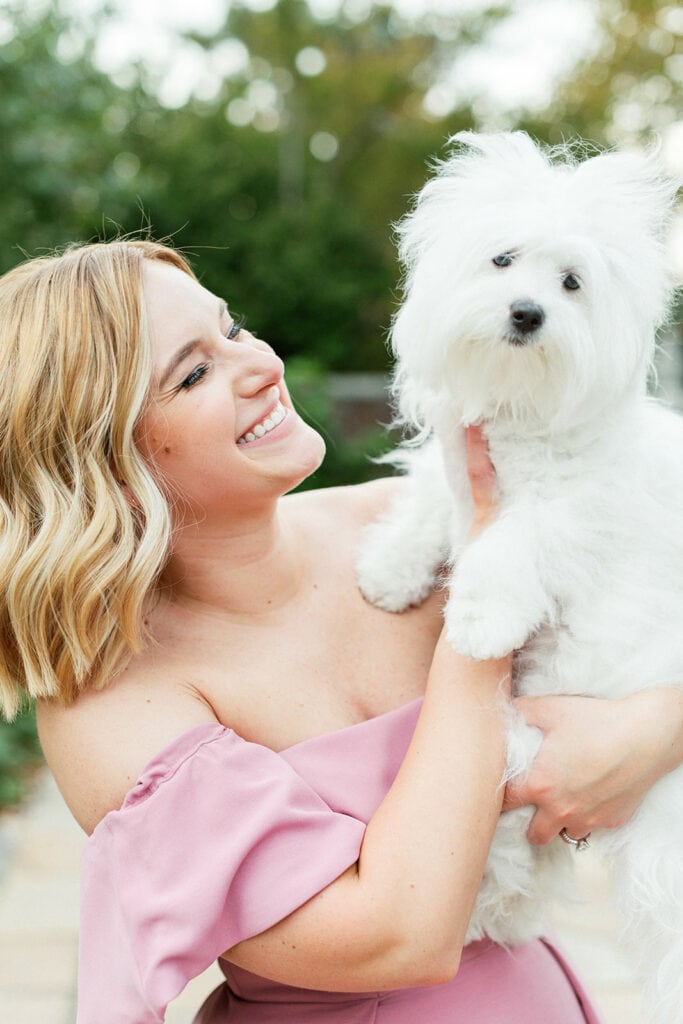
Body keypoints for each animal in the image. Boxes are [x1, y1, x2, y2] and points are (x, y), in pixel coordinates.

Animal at [356, 132, 683, 1019]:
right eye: (501, 260)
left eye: (571, 283)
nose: (526, 313)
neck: (521, 406)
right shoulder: (456, 475)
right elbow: (425, 502)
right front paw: (388, 574)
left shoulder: (570, 514)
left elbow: (511, 545)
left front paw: (475, 622)